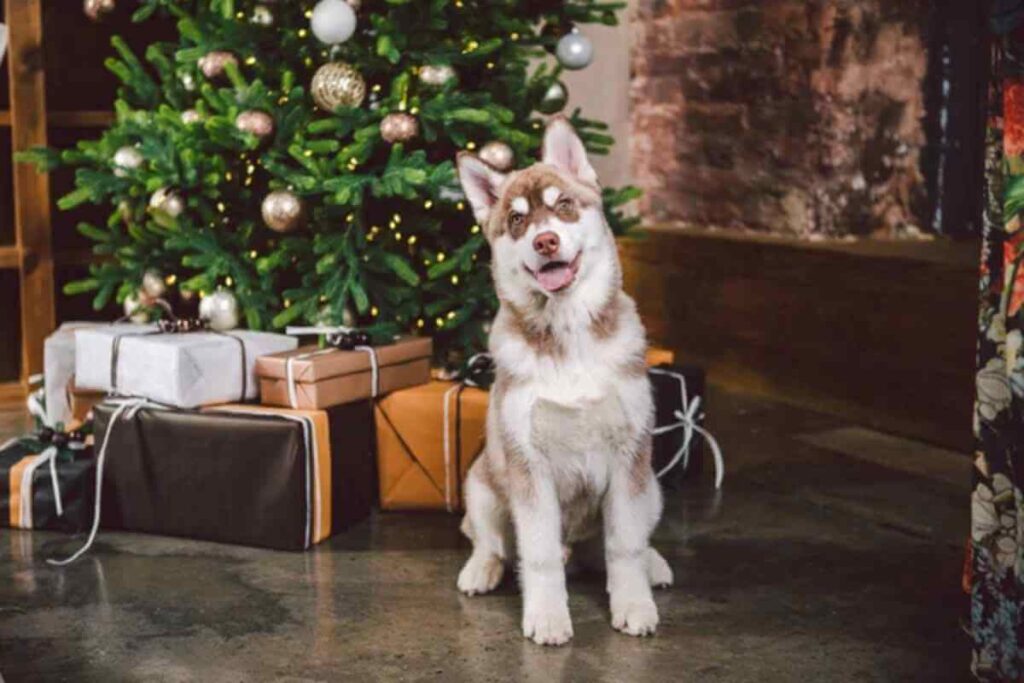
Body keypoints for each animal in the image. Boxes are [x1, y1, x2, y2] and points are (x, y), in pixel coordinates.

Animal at [456, 117, 671, 647]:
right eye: (516, 221)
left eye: (564, 205)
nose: (545, 242)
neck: (568, 334)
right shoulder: (528, 466)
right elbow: (538, 553)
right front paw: (548, 616)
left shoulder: (629, 457)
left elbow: (624, 546)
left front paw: (634, 604)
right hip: (482, 485)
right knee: (490, 541)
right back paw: (480, 570)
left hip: (653, 487)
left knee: (630, 541)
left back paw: (654, 564)